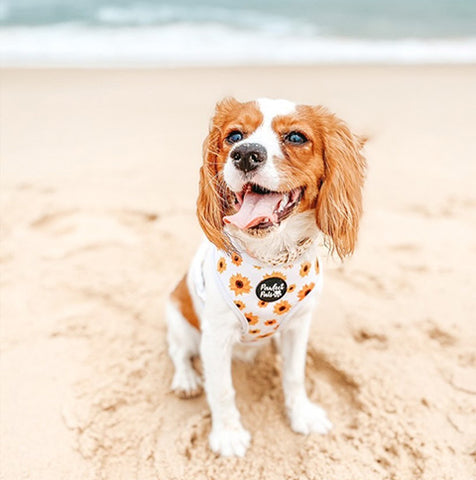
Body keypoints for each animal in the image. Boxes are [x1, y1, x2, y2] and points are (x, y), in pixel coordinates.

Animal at [165, 97, 366, 458]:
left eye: (297, 137)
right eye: (234, 136)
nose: (245, 154)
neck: (270, 260)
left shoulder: (299, 326)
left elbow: (294, 375)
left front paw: (302, 415)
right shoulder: (214, 336)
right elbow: (222, 390)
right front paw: (228, 435)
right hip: (178, 318)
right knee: (179, 351)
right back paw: (186, 379)